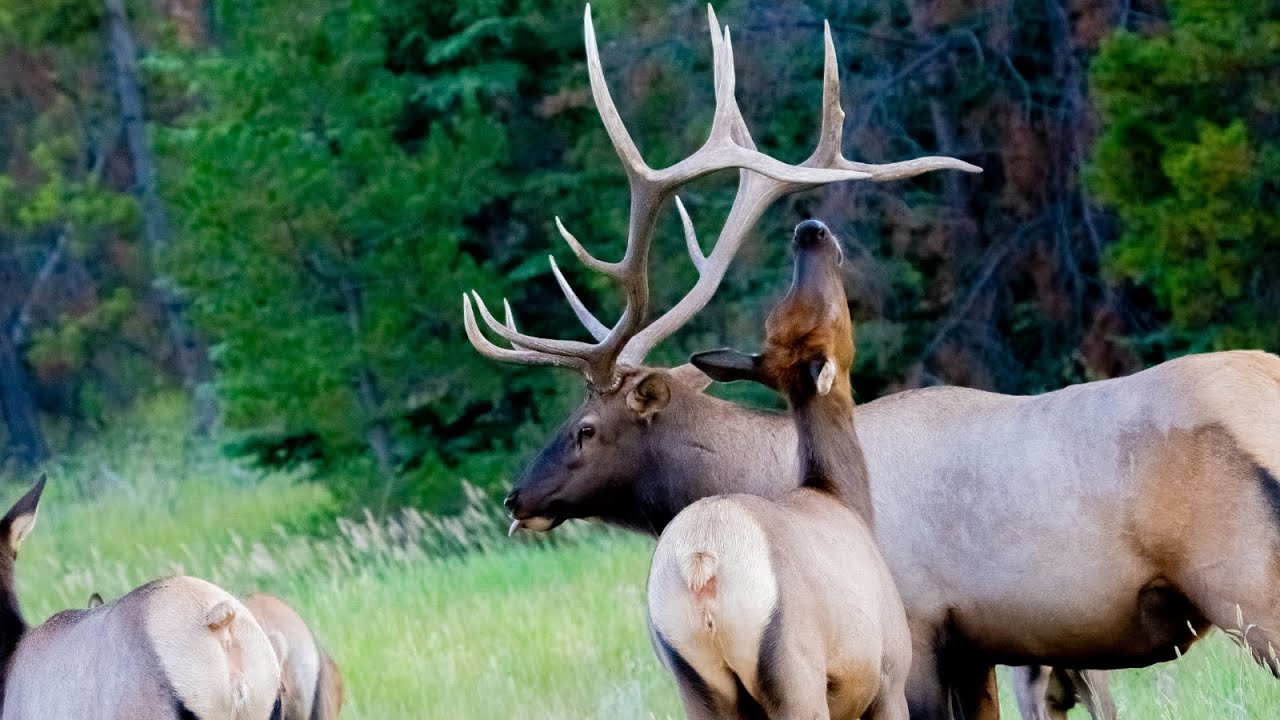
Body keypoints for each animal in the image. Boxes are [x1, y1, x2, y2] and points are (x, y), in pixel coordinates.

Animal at [648, 219, 911, 719]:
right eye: (833, 315)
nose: (811, 230)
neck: (845, 498)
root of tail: (702, 564)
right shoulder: (890, 676)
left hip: (694, 681)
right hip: (793, 671)